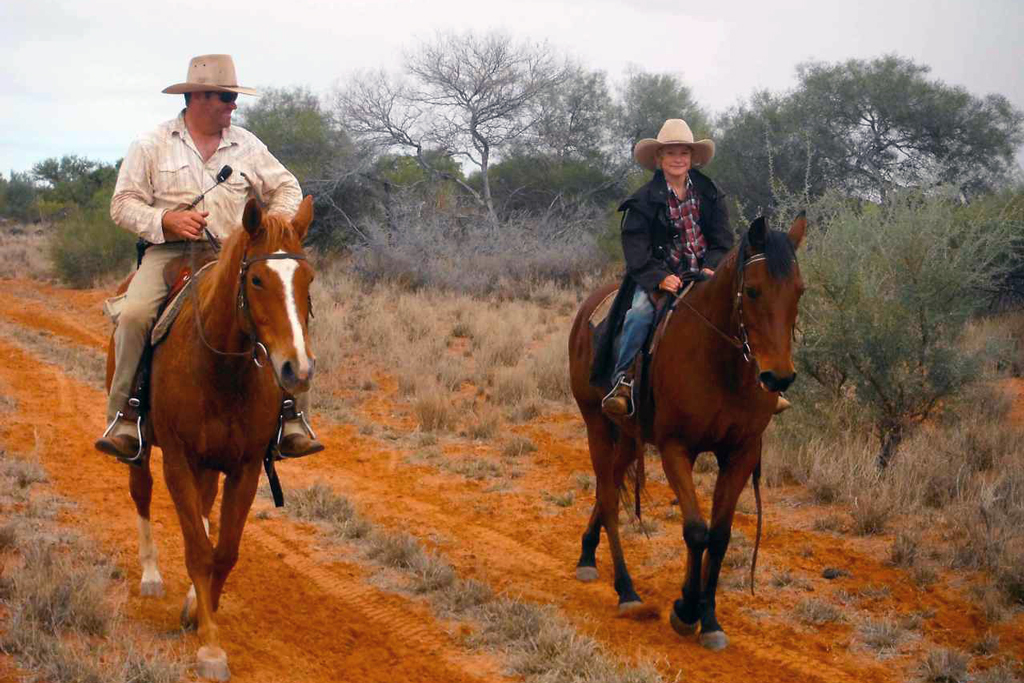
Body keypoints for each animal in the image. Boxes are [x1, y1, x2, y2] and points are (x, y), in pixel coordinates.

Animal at [104, 194, 315, 679]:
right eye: (256, 279)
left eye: (308, 278)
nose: (297, 369)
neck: (223, 368)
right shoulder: (178, 461)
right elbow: (199, 551)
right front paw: (211, 647)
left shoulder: (245, 468)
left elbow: (225, 551)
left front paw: (199, 613)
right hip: (142, 454)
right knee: (141, 493)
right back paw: (152, 576)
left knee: (203, 508)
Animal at [565, 211, 802, 651]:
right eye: (753, 291)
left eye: (799, 290)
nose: (777, 377)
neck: (721, 363)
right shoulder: (677, 448)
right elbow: (696, 531)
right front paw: (686, 610)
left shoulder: (741, 452)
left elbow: (720, 535)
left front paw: (709, 619)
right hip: (597, 423)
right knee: (608, 499)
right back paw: (626, 591)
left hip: (629, 436)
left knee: (609, 487)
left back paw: (588, 555)